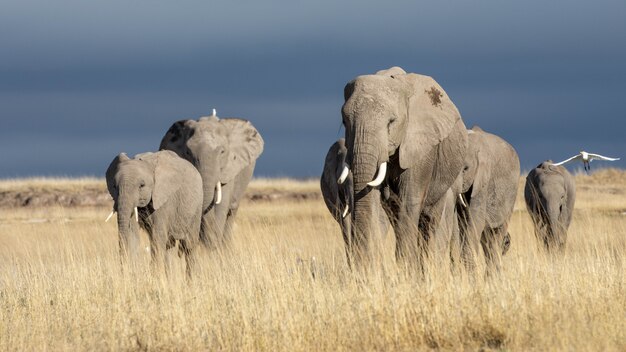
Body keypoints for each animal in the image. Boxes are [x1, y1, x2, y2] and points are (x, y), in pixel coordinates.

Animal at [338, 66, 466, 266]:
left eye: (391, 121)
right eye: (345, 121)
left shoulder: (420, 148)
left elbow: (409, 201)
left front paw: (405, 268)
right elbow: (373, 200)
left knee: (432, 221)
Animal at [456, 126, 520, 272]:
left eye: (465, 168)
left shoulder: (484, 178)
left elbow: (475, 221)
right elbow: (463, 222)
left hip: (511, 196)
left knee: (496, 236)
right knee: (487, 239)